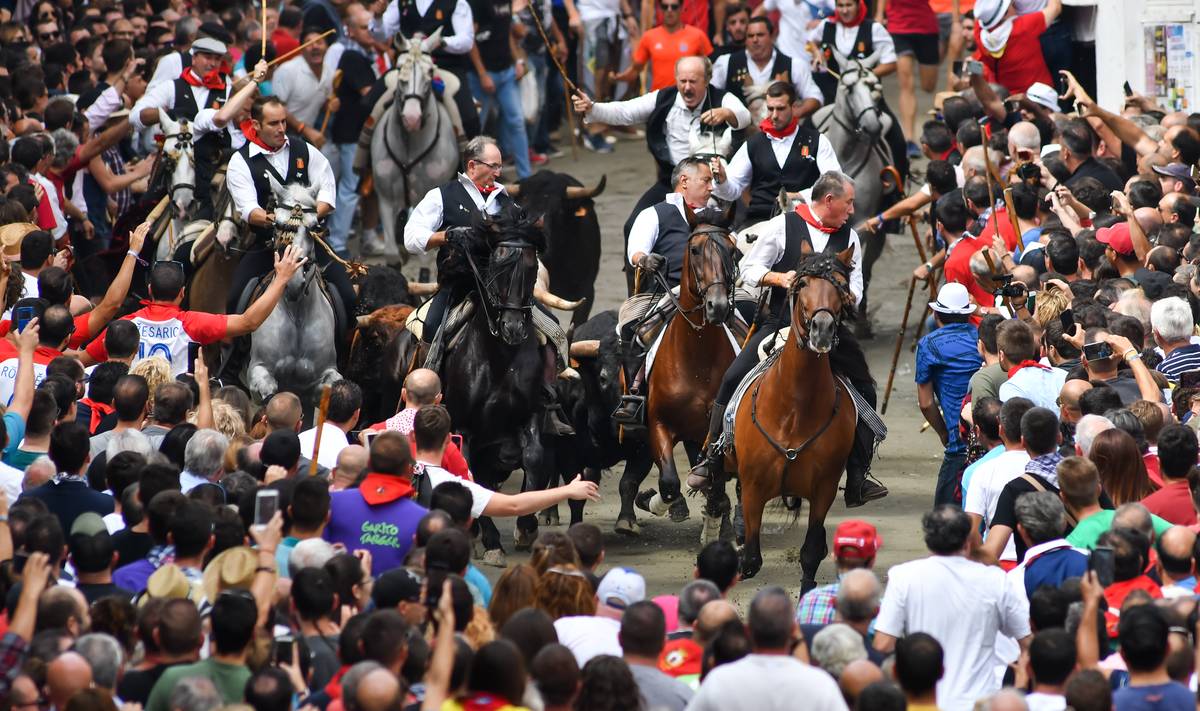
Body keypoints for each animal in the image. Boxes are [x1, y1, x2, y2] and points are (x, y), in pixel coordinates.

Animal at [243, 178, 338, 398]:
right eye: (277, 225)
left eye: (314, 227)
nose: (293, 282)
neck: (297, 313)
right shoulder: (258, 371)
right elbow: (270, 393)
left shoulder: (326, 373)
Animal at [372, 29, 456, 272]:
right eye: (400, 67)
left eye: (430, 71)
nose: (411, 118)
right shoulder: (385, 198)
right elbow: (392, 254)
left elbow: (426, 262)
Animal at [439, 205, 554, 562]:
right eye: (497, 270)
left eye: (532, 269)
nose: (513, 328)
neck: (499, 358)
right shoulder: (465, 426)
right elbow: (472, 473)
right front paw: (490, 541)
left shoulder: (529, 414)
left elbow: (535, 457)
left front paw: (527, 526)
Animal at [633, 207, 744, 535]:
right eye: (694, 250)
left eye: (733, 251)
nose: (717, 306)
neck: (697, 361)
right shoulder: (658, 424)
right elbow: (669, 483)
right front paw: (650, 500)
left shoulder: (715, 436)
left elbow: (716, 488)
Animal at [724, 245, 859, 588]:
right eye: (801, 284)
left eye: (841, 285)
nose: (822, 330)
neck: (795, 409)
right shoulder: (754, 485)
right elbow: (749, 560)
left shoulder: (824, 488)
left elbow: (810, 554)